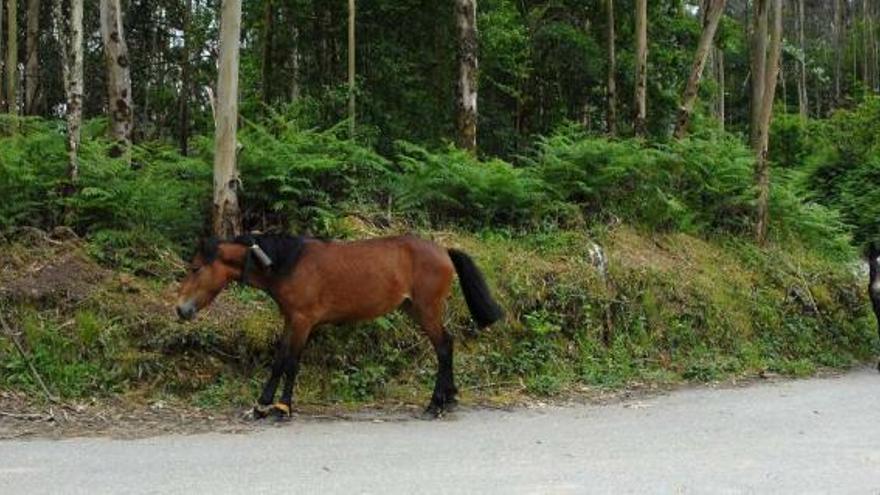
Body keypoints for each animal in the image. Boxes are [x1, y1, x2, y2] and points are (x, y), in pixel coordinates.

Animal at [175, 234, 502, 420]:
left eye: (195, 268)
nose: (180, 308)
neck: (287, 263)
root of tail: (444, 251)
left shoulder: (303, 321)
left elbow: (291, 363)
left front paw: (282, 408)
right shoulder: (290, 320)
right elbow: (279, 361)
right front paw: (261, 406)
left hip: (427, 310)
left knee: (444, 347)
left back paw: (436, 404)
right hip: (416, 309)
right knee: (446, 346)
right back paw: (449, 398)